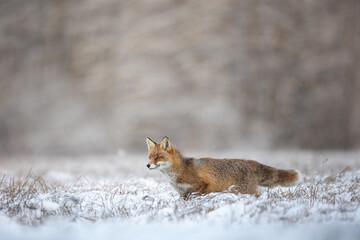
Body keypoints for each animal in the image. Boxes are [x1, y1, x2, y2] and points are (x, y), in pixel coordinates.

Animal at [146, 136, 300, 198]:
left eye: (158, 157)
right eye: (150, 157)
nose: (147, 165)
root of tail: (249, 161)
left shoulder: (201, 186)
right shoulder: (181, 192)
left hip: (245, 191)